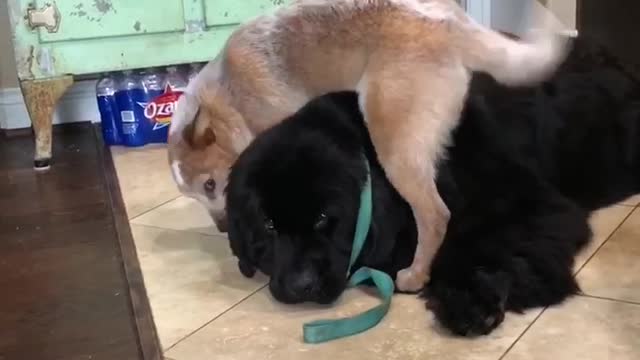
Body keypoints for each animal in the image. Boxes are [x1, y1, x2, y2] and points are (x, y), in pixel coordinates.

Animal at [168, 0, 568, 292]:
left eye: (210, 184)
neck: (227, 99)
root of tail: (448, 24)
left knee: (436, 215)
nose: (222, 228)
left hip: (393, 146)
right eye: (195, 196)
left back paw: (415, 274)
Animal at [224, 38, 640, 338]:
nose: (302, 285)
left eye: (324, 218)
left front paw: (469, 299)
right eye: (268, 226)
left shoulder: (529, 203)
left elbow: (482, 244)